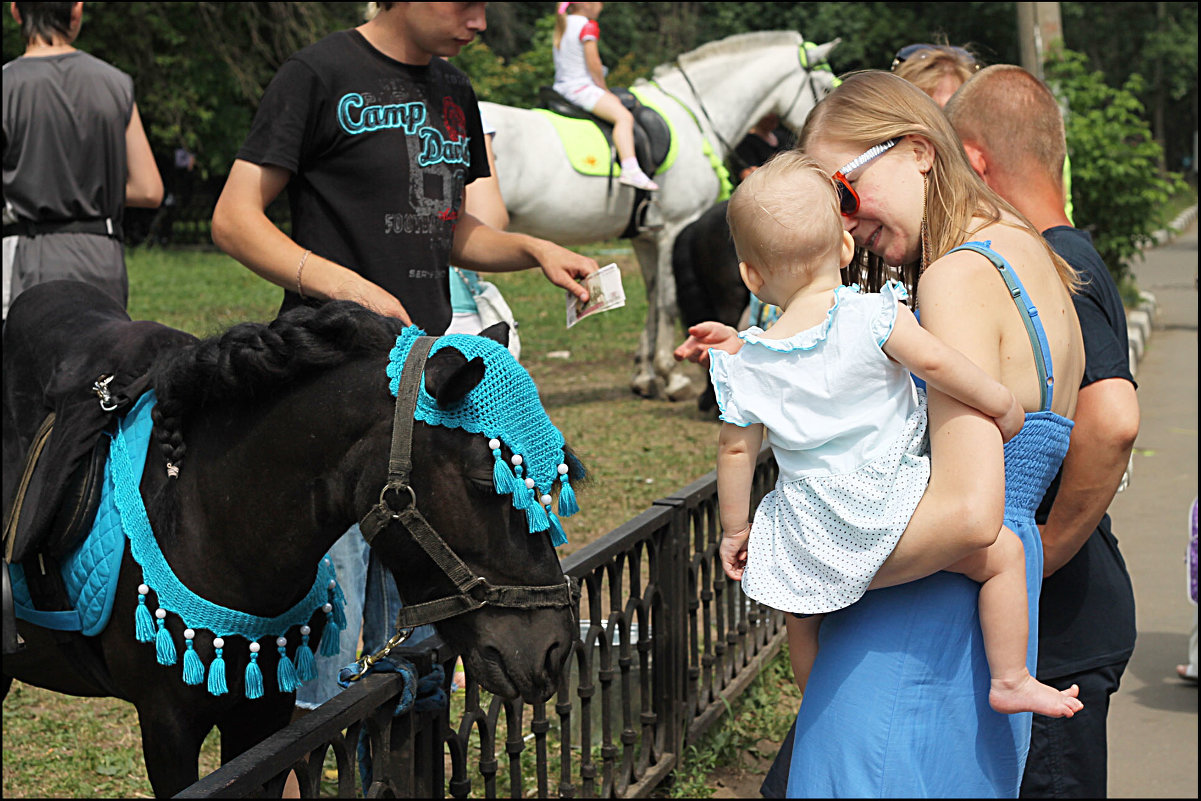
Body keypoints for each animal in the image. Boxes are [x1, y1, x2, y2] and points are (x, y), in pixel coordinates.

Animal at [482, 32, 840, 401]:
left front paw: (644, 374)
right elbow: (667, 303)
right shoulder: (674, 227)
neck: (694, 113)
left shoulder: (645, 237)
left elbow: (653, 299)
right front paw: (671, 374)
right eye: (826, 86)